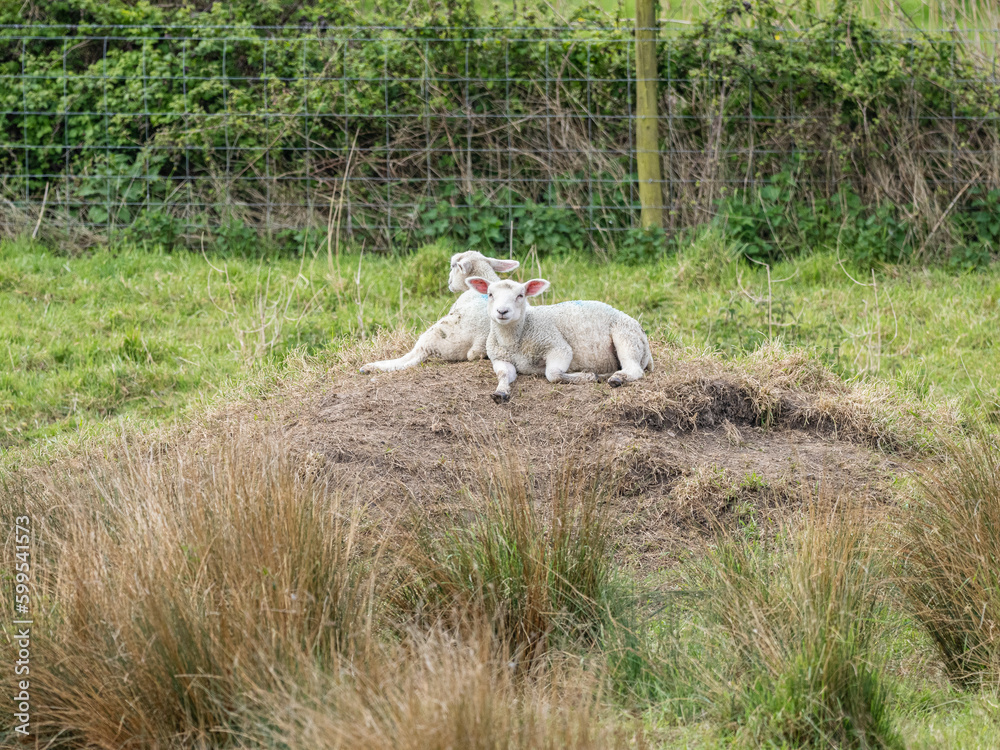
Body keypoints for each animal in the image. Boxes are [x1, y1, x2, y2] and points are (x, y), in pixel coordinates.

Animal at [359, 251, 519, 373]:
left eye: (453, 266)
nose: (449, 282)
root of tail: (479, 343)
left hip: (435, 333)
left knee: (409, 357)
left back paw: (370, 367)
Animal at [464, 276, 653, 403]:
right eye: (490, 294)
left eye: (520, 295)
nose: (502, 312)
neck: (514, 340)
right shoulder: (500, 358)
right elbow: (503, 374)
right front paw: (500, 392)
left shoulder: (557, 346)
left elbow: (553, 374)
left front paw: (587, 377)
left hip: (626, 337)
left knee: (634, 369)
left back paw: (617, 379)